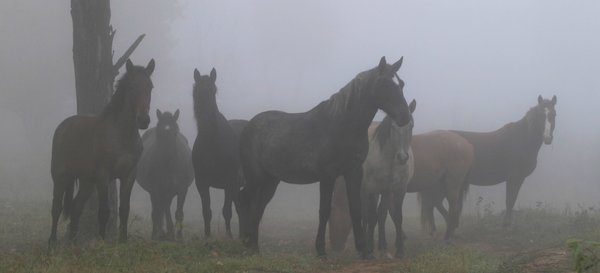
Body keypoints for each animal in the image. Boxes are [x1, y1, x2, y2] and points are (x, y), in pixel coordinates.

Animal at [49, 58, 156, 245]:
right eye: (132, 87)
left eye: (150, 87)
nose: (143, 120)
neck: (122, 135)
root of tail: (64, 126)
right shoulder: (103, 175)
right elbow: (104, 211)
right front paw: (102, 242)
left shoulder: (129, 175)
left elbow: (124, 210)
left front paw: (123, 241)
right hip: (60, 175)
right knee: (56, 208)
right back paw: (52, 244)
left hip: (87, 182)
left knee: (76, 207)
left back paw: (72, 243)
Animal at [136, 109, 192, 239]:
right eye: (159, 133)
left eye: (175, 132)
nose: (167, 157)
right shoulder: (156, 189)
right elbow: (157, 212)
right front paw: (158, 234)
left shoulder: (182, 189)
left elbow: (179, 213)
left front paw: (179, 237)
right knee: (159, 210)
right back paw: (161, 232)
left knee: (164, 207)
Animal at [192, 68, 248, 238]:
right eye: (196, 91)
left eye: (213, 91)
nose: (206, 120)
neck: (212, 143)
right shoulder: (202, 183)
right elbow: (206, 211)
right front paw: (207, 236)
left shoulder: (229, 182)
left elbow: (226, 211)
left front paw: (228, 237)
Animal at [238, 56, 412, 258]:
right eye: (385, 84)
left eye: (402, 84)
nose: (405, 117)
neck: (342, 125)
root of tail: (249, 126)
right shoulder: (327, 176)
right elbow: (324, 211)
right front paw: (321, 250)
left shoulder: (353, 172)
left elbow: (356, 209)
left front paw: (364, 250)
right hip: (255, 178)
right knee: (245, 200)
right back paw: (245, 242)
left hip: (270, 181)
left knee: (258, 208)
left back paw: (254, 248)